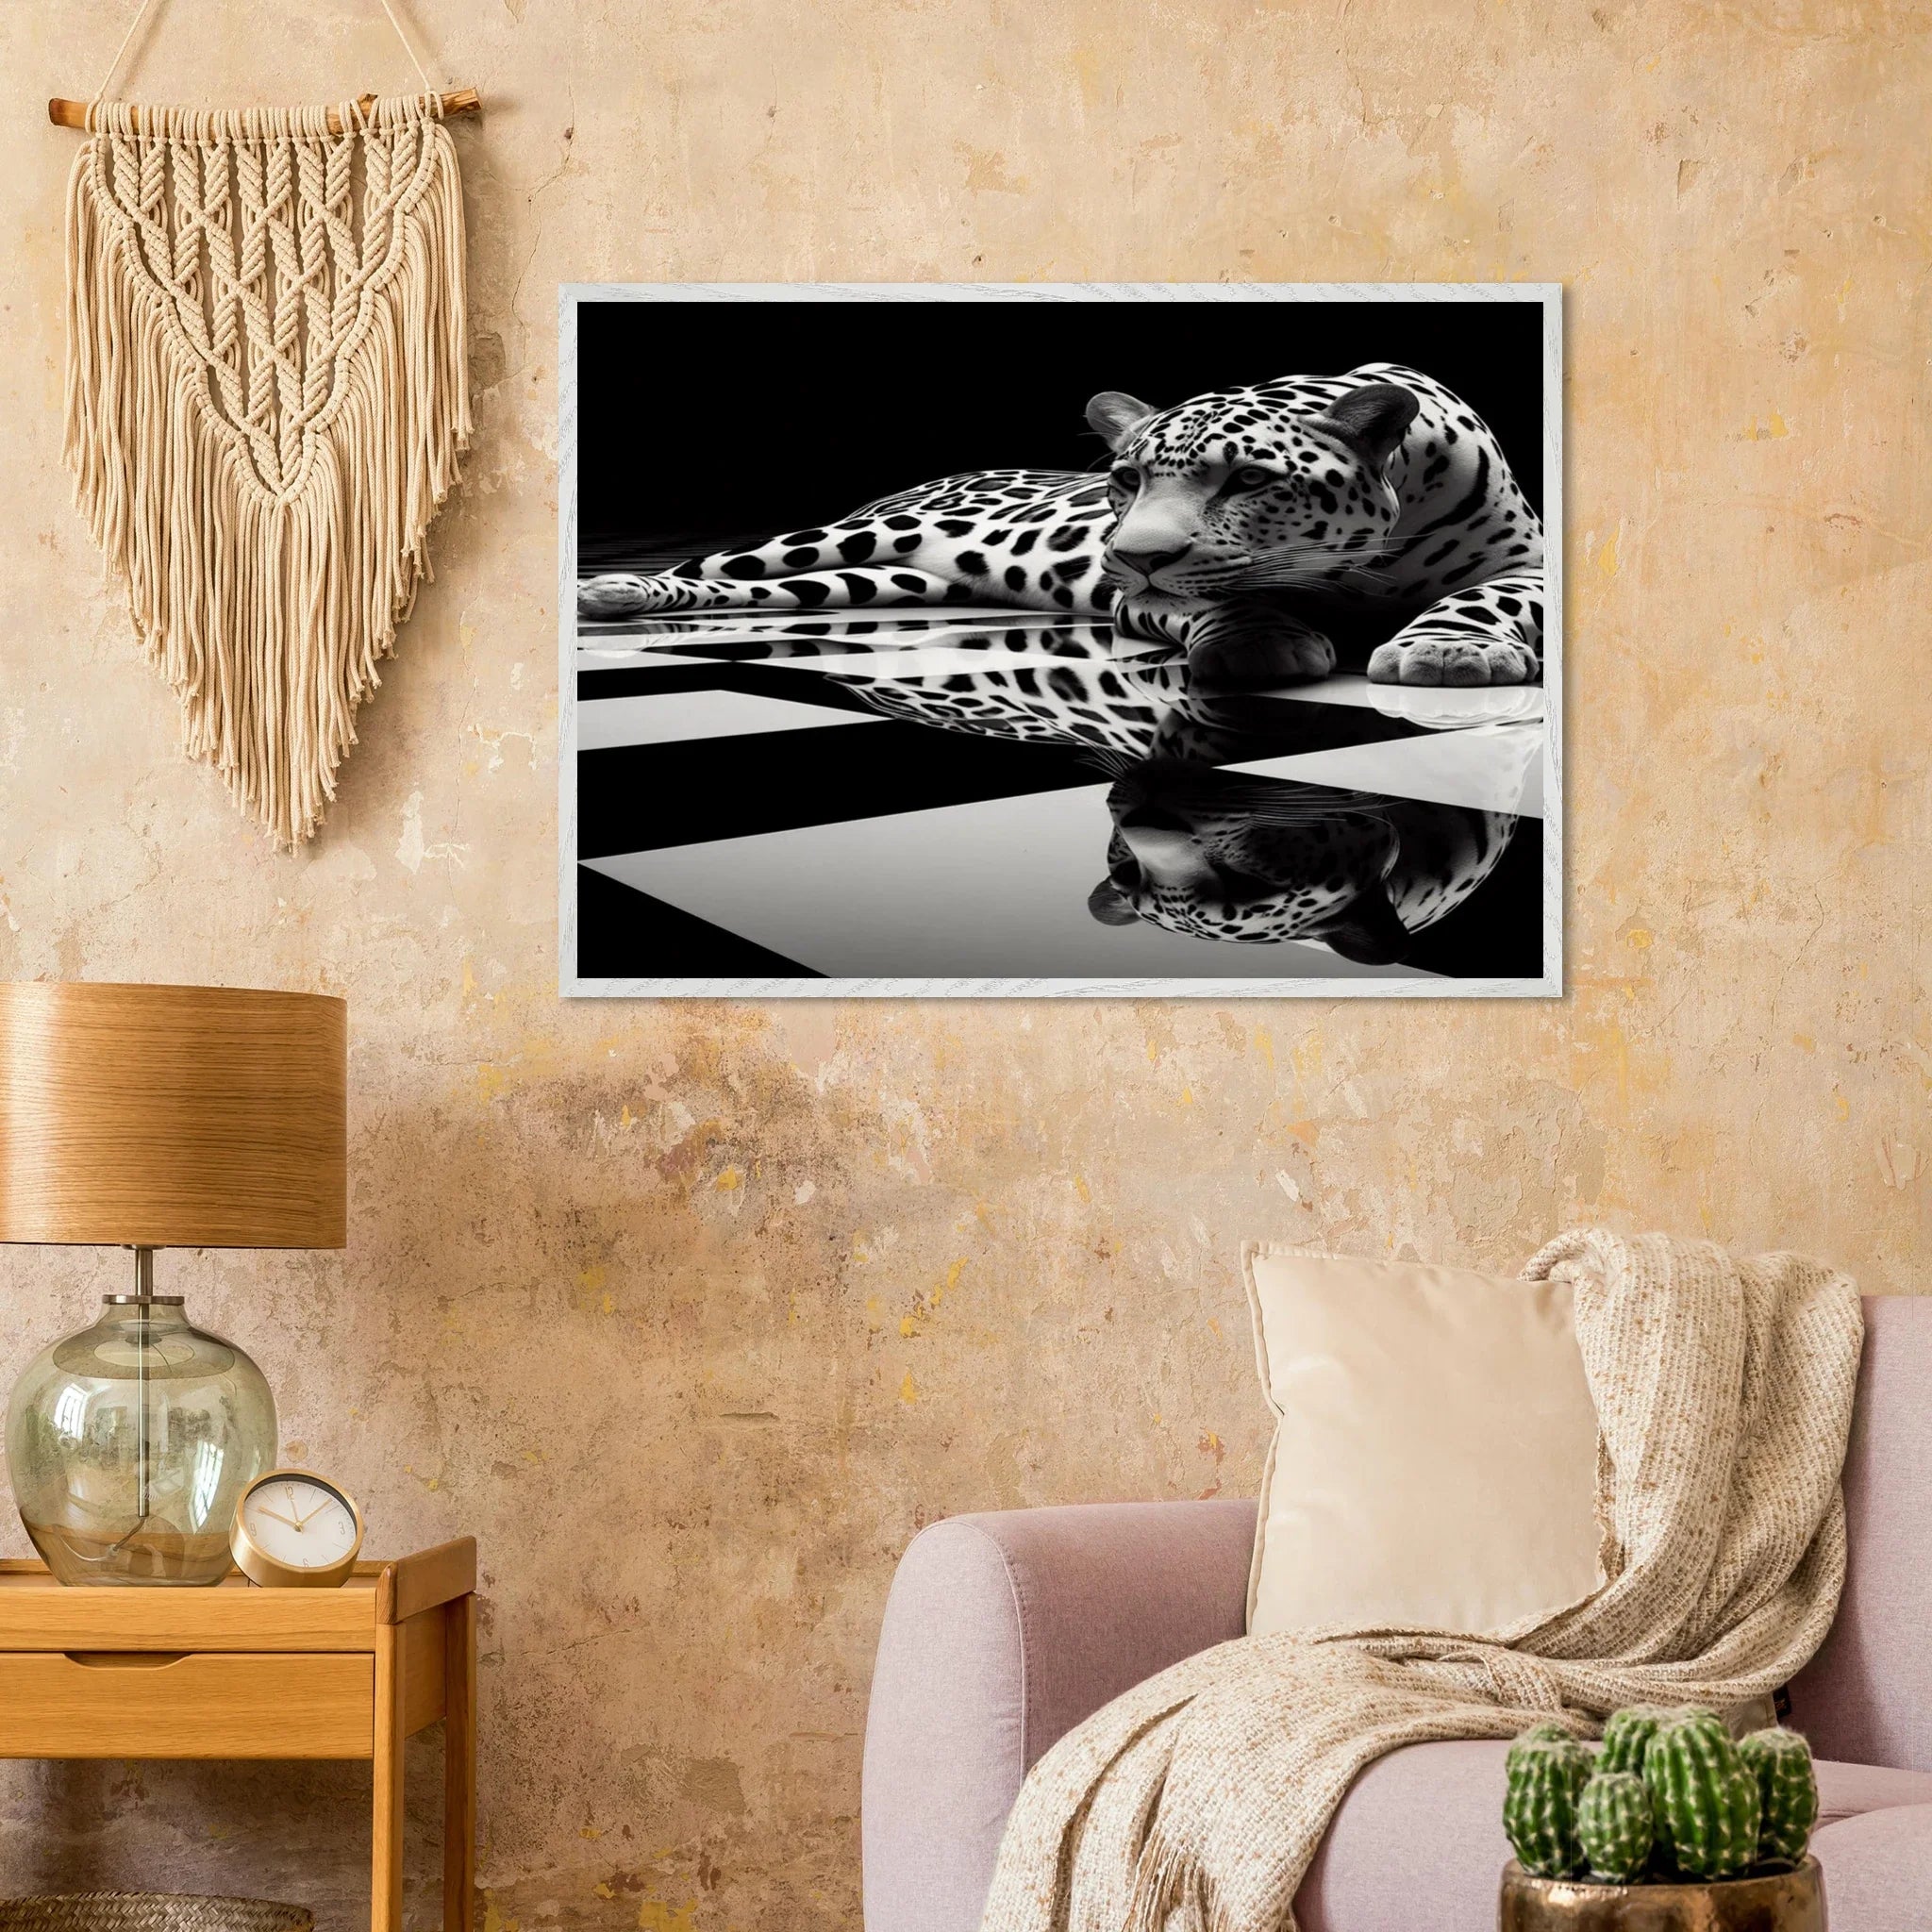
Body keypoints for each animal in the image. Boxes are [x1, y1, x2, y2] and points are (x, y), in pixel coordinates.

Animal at [576, 361, 1545, 688]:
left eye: (1248, 480)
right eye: (1124, 480)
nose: (1131, 554)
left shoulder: (1529, 568)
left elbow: (1485, 599)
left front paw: (1450, 650)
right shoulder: (1139, 600)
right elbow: (1218, 599)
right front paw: (1259, 642)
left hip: (881, 580)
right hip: (844, 539)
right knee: (718, 566)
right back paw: (613, 591)